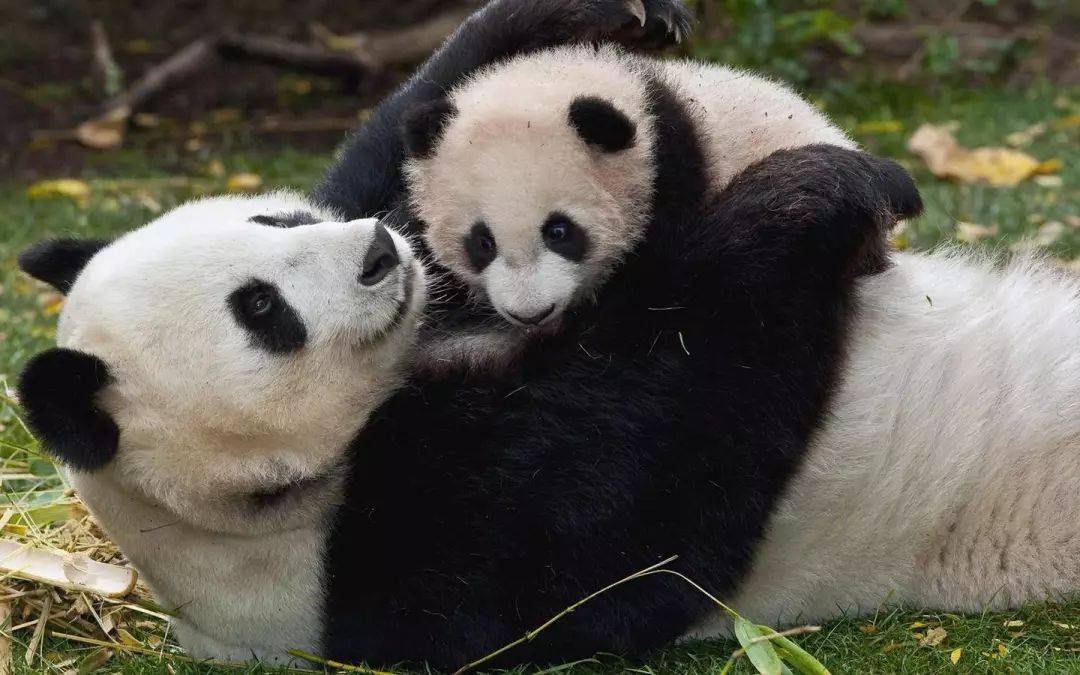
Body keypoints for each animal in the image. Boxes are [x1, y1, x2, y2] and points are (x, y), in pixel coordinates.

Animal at [8, 143, 984, 669]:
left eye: (278, 223)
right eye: (261, 310)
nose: (379, 250)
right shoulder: (402, 557)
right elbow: (656, 477)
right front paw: (823, 189)